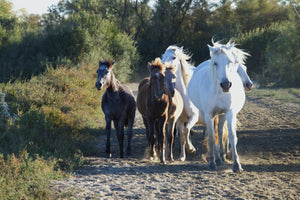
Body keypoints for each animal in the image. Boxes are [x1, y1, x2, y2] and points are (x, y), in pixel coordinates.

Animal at [188, 40, 248, 172]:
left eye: (230, 61)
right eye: (215, 63)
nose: (226, 84)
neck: (219, 91)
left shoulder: (229, 112)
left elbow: (231, 136)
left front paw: (236, 164)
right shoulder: (209, 114)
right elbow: (211, 137)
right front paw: (211, 162)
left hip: (222, 114)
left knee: (220, 132)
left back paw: (221, 156)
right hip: (209, 114)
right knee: (214, 133)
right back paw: (217, 158)